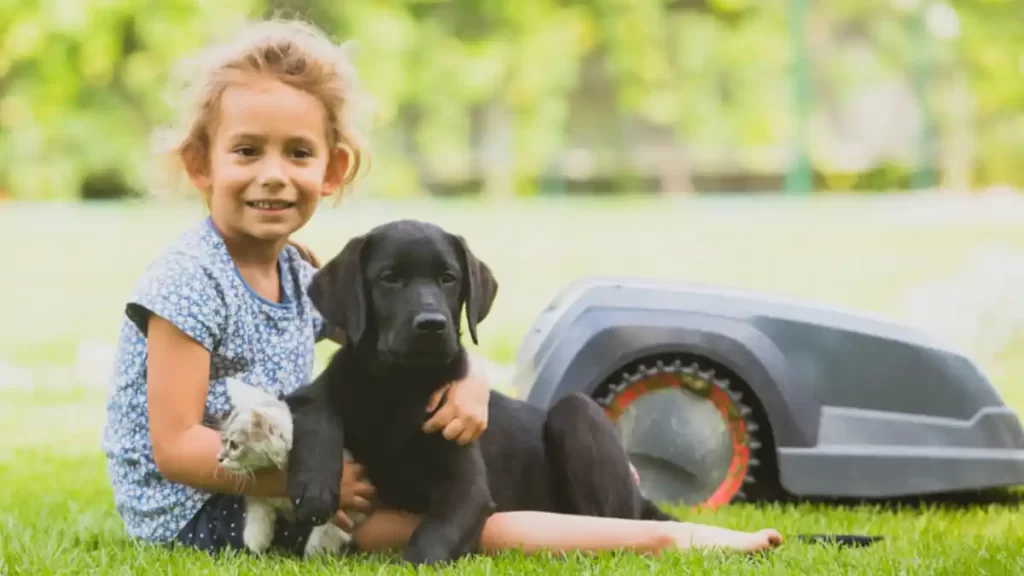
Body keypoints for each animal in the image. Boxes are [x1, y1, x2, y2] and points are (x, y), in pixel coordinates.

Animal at [217, 377, 360, 557]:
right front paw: (256, 539)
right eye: (223, 441)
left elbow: (328, 529)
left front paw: (315, 552)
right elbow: (258, 508)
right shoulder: (258, 494)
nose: (218, 458)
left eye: (234, 445)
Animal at [284, 219, 675, 565]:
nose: (432, 325)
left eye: (448, 278)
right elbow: (316, 408)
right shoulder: (322, 390)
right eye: (389, 278)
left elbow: (433, 538)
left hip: (578, 412)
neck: (402, 386)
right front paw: (315, 486)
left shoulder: (467, 489)